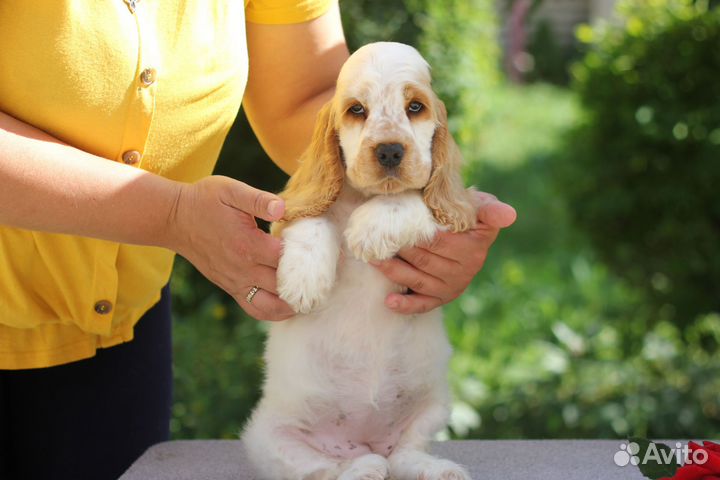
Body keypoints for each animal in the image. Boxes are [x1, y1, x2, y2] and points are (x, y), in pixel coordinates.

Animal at [242, 42, 478, 480]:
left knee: (403, 454)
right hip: (269, 436)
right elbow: (312, 220)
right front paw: (302, 283)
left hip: (435, 405)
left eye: (415, 107)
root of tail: (364, 439)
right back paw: (361, 469)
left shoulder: (455, 218)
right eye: (356, 110)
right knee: (323, 468)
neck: (366, 196)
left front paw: (367, 231)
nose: (389, 150)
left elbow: (413, 199)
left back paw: (437, 469)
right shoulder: (290, 216)